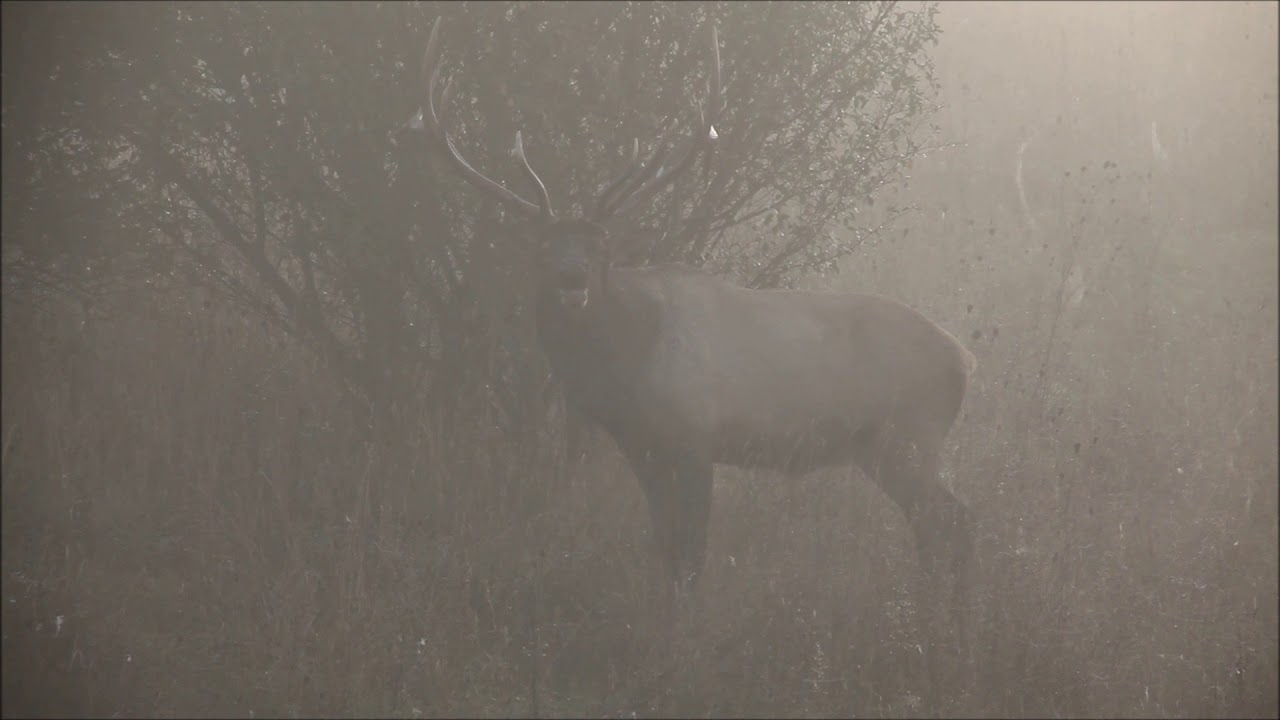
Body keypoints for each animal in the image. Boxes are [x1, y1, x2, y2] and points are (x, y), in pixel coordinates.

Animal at [403, 18, 978, 610]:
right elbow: (663, 543)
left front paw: (685, 625)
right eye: (544, 247)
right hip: (880, 446)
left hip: (911, 433)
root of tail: (963, 359)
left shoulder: (697, 433)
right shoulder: (640, 444)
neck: (627, 367)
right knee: (942, 522)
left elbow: (693, 550)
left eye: (600, 246)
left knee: (951, 520)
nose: (572, 278)